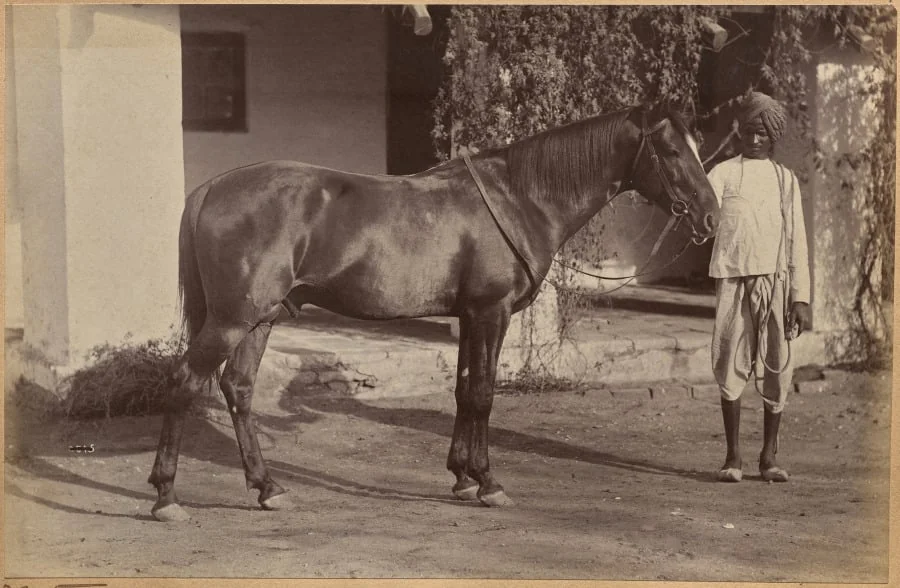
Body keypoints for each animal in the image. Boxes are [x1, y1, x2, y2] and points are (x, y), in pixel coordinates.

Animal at [148, 103, 719, 522]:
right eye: (672, 150)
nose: (712, 218)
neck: (521, 197)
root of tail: (211, 189)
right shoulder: (491, 313)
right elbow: (484, 394)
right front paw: (488, 483)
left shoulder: (468, 317)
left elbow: (464, 391)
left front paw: (462, 477)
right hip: (232, 320)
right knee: (183, 382)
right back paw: (166, 496)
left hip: (260, 319)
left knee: (239, 390)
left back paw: (268, 488)